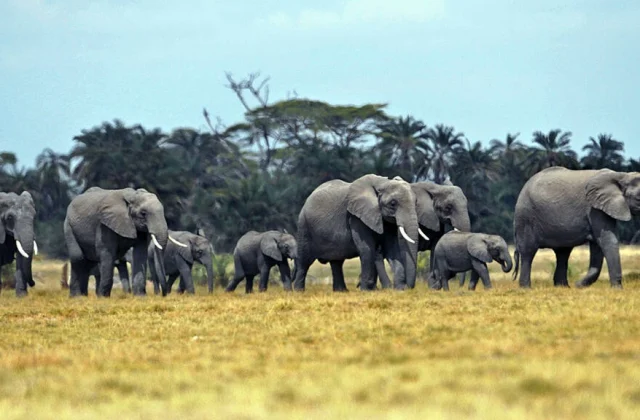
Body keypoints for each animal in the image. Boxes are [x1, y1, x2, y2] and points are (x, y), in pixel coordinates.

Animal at [292, 174, 421, 292]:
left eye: (416, 202)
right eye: (393, 203)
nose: (409, 288)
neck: (381, 183)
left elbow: (392, 249)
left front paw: (399, 290)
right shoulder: (356, 218)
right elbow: (367, 249)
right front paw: (366, 291)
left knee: (336, 262)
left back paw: (341, 292)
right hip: (304, 227)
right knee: (304, 261)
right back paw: (299, 291)